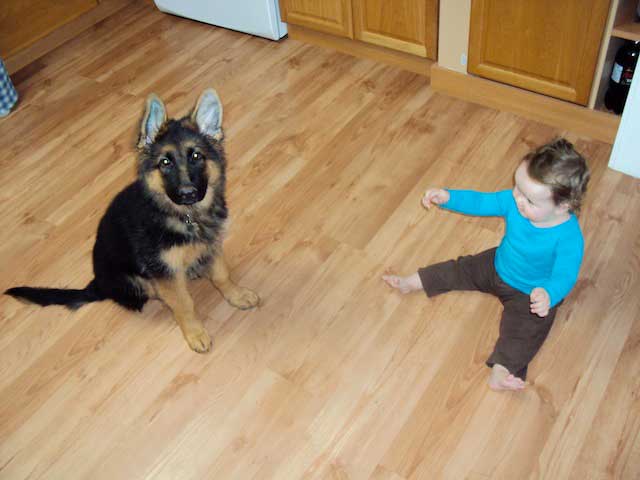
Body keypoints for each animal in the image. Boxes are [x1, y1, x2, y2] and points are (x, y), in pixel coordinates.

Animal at [5, 89, 260, 352]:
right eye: (165, 163)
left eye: (197, 156)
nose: (187, 193)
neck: (187, 216)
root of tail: (98, 283)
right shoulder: (164, 271)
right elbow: (184, 303)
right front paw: (195, 332)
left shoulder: (212, 245)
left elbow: (221, 275)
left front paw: (236, 295)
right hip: (138, 280)